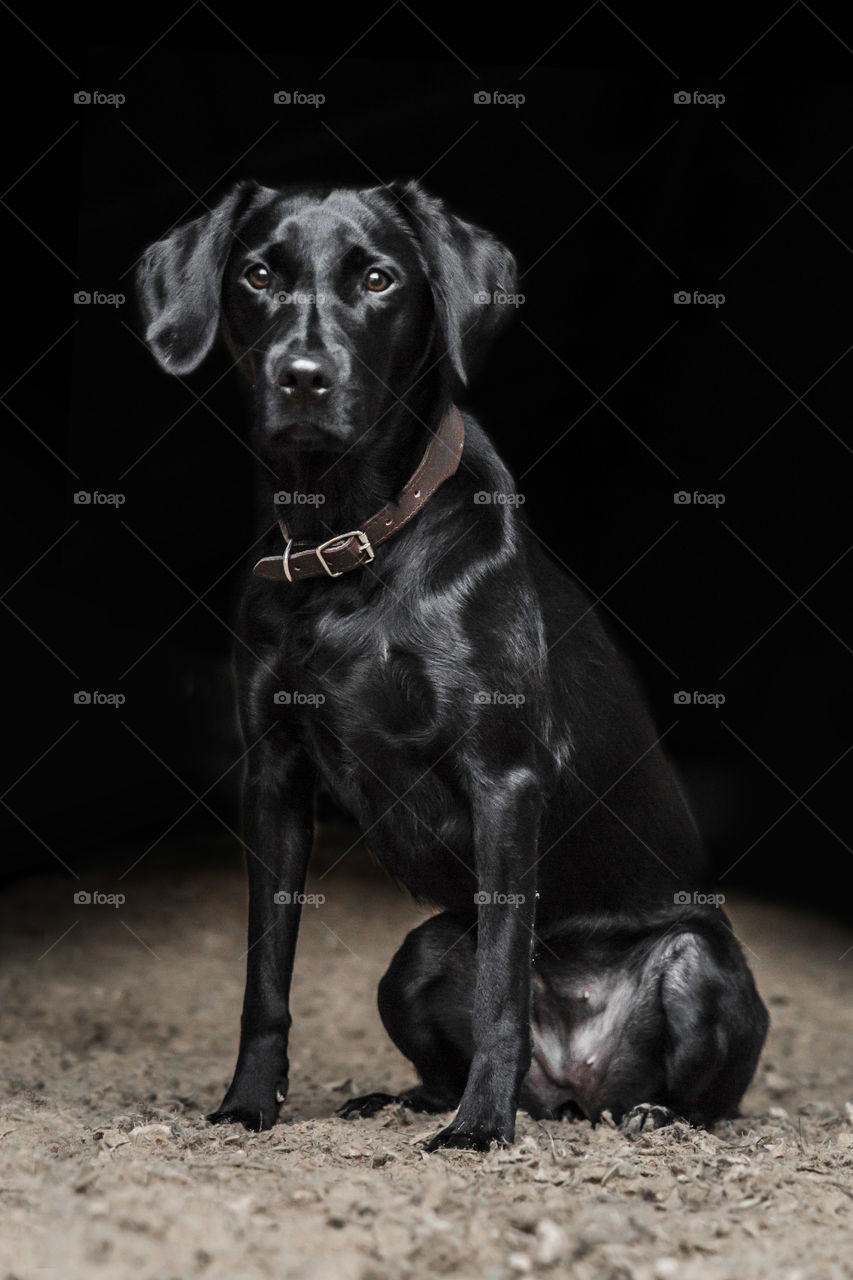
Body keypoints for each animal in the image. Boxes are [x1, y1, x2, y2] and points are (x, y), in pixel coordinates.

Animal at [136, 177, 768, 1152]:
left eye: (379, 278)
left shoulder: (504, 778)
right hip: (419, 951)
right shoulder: (273, 779)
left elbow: (503, 984)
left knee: (704, 1098)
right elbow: (264, 978)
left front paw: (479, 1130)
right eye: (257, 275)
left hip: (694, 959)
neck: (349, 545)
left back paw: (645, 1111)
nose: (303, 378)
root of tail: (573, 1082)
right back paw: (410, 1098)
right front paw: (247, 1104)